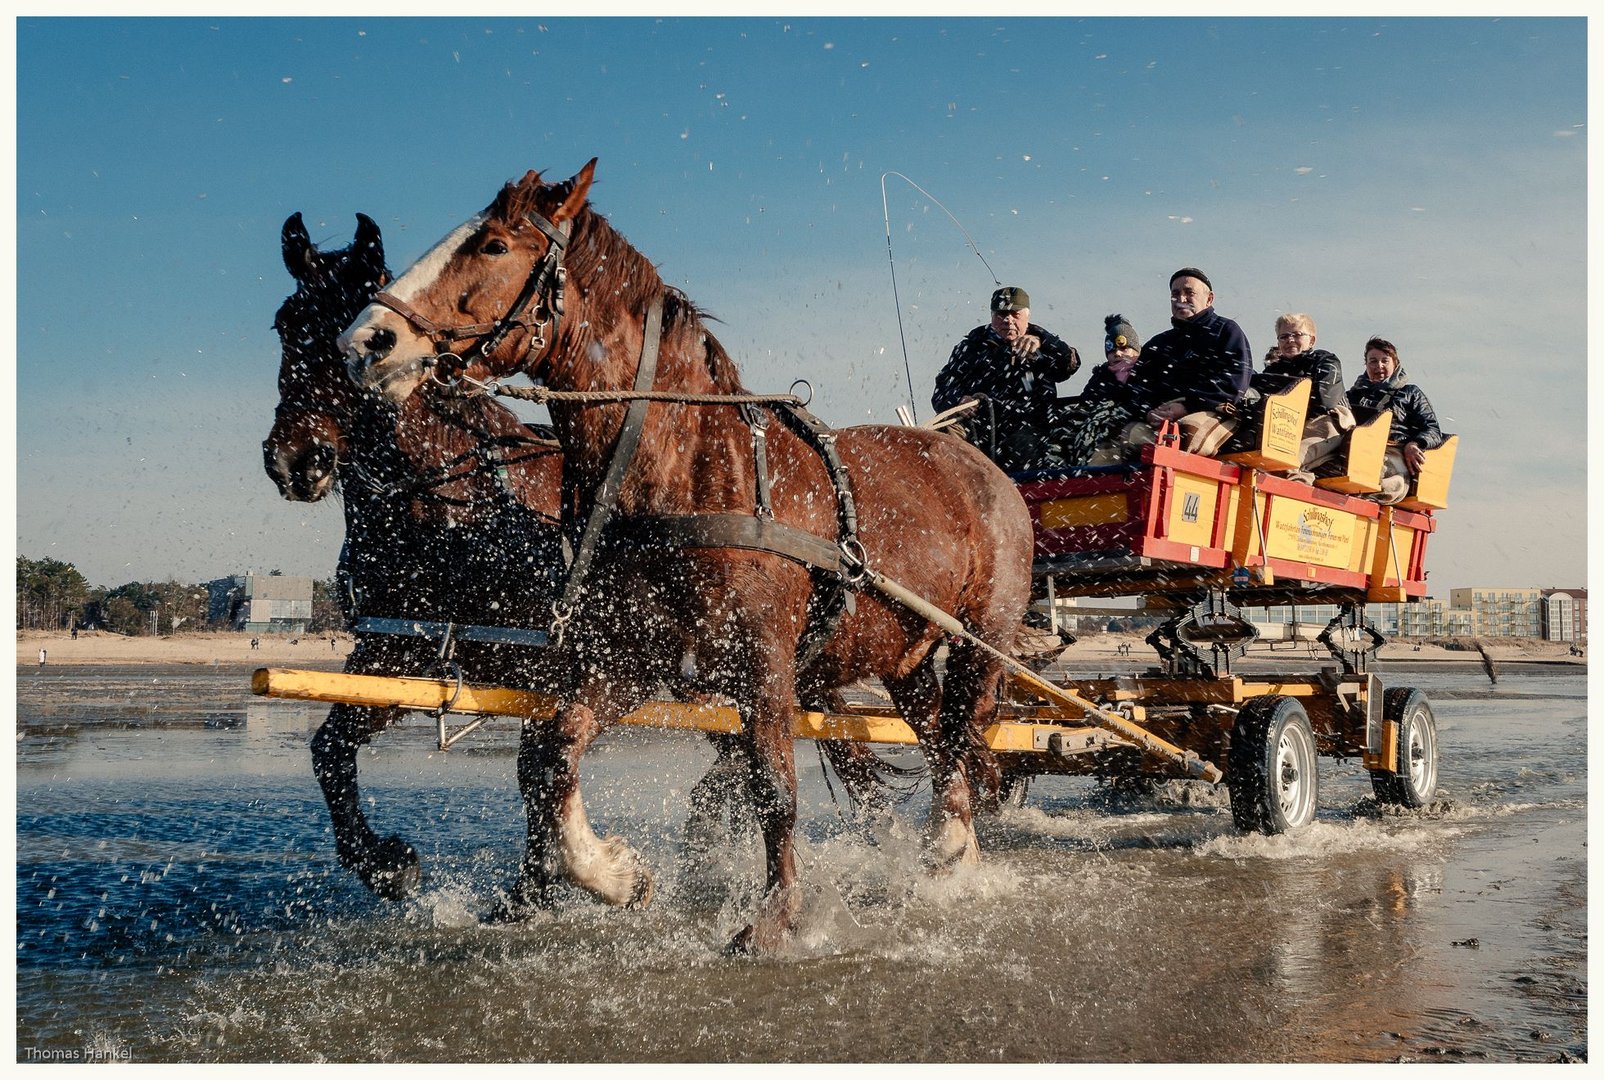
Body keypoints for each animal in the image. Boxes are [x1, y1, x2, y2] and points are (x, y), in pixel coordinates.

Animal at [258, 215, 898, 898]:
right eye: (286, 323)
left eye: (348, 325)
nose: (295, 459)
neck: (454, 505)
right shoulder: (393, 649)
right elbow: (332, 751)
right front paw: (387, 863)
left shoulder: (562, 662)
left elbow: (541, 774)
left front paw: (563, 879)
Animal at [343, 162, 1032, 950]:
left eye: (492, 245)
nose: (367, 341)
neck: (692, 470)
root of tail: (977, 461)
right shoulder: (633, 658)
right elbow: (550, 754)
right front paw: (612, 873)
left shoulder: (763, 662)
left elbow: (773, 785)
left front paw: (773, 919)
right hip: (903, 651)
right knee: (941, 738)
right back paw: (948, 853)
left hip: (981, 636)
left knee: (963, 731)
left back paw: (952, 854)